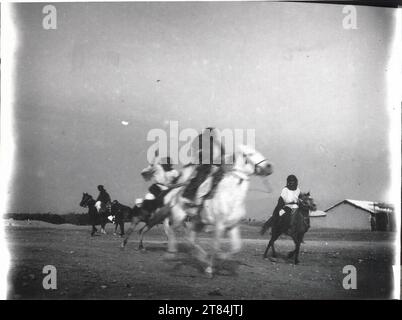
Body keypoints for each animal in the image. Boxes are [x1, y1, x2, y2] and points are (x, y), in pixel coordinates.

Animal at [164, 146, 274, 276]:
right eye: (249, 154)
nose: (269, 167)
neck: (231, 196)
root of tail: (177, 192)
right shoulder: (219, 225)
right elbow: (216, 246)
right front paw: (210, 268)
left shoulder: (233, 226)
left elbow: (236, 248)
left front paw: (218, 262)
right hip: (179, 218)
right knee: (171, 229)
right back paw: (172, 252)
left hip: (198, 222)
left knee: (190, 239)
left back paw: (201, 257)